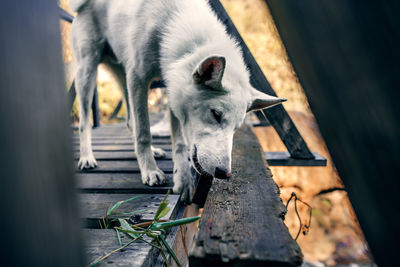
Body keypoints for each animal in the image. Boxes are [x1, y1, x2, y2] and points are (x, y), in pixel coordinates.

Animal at [71, 0, 284, 203]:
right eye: (216, 114)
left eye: (236, 128)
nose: (225, 174)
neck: (172, 22)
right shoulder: (139, 79)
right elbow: (144, 132)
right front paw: (150, 171)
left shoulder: (171, 90)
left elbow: (179, 143)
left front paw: (183, 181)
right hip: (88, 73)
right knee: (85, 122)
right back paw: (87, 157)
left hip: (124, 78)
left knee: (130, 122)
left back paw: (154, 151)